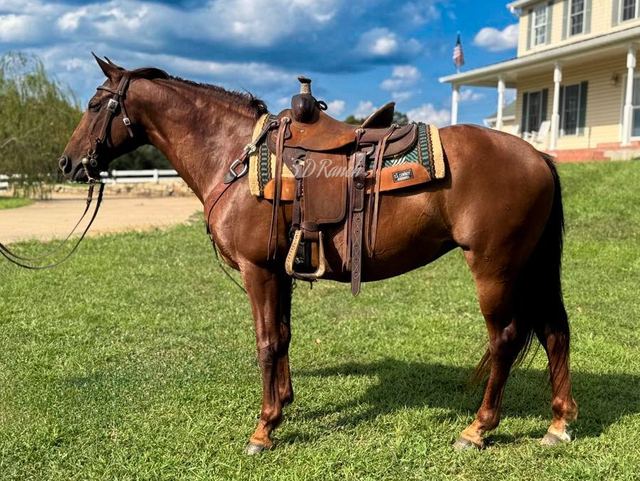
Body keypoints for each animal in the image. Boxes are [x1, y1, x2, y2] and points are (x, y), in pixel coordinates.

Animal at [59, 55, 577, 454]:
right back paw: (558, 423)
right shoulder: (281, 270)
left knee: (506, 338)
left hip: (494, 267)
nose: (67, 163)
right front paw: (285, 405)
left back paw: (478, 429)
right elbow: (284, 337)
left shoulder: (259, 271)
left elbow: (266, 343)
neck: (235, 155)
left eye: (93, 105)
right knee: (554, 331)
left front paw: (264, 427)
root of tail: (537, 156)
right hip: (531, 267)